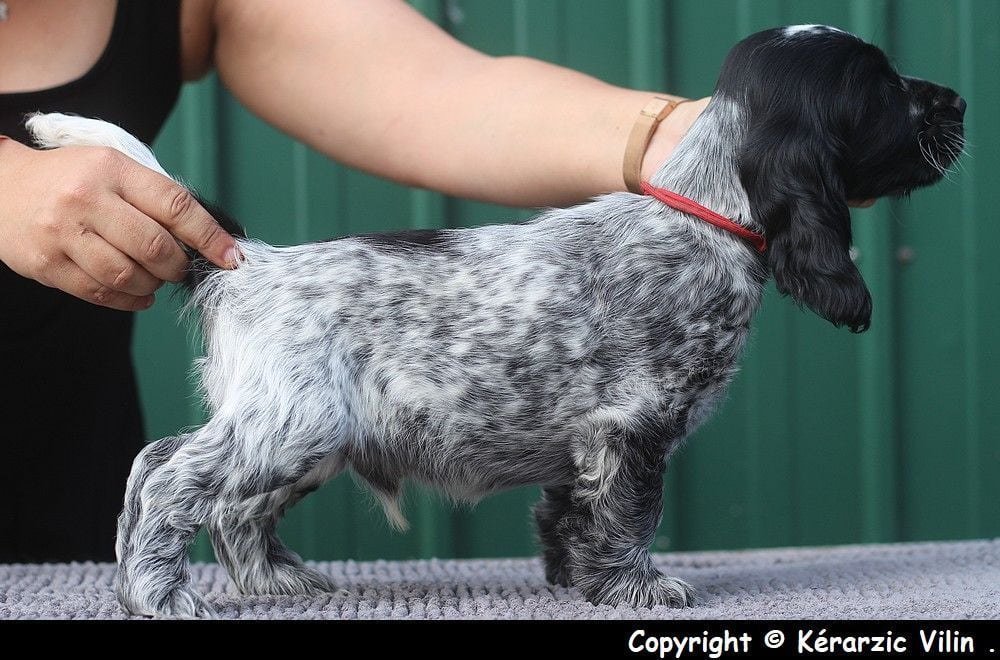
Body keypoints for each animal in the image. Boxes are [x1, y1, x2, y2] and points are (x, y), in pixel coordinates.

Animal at [27, 21, 960, 620]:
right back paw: (155, 593)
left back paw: (271, 585)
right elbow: (629, 516)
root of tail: (249, 262)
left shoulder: (585, 441)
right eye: (885, 90)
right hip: (292, 422)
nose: (954, 100)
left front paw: (574, 580)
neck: (704, 213)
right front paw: (637, 589)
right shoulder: (633, 427)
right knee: (168, 476)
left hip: (308, 434)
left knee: (222, 503)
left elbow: (571, 514)